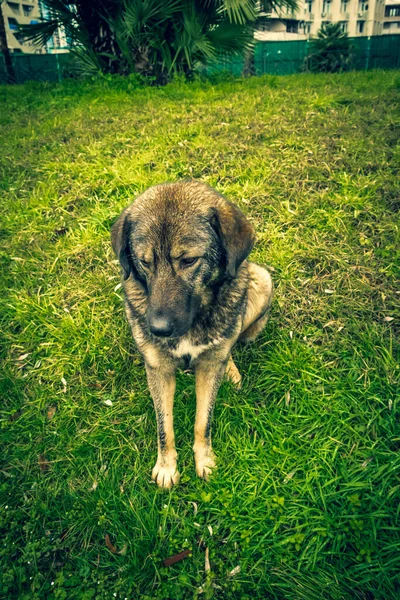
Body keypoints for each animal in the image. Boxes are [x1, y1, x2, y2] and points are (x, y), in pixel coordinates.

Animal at [111, 179, 274, 488]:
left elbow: (203, 421)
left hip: (261, 281)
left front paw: (205, 459)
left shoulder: (208, 368)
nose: (158, 329)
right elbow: (164, 427)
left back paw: (230, 368)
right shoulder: (159, 370)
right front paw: (166, 467)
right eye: (145, 262)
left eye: (188, 260)